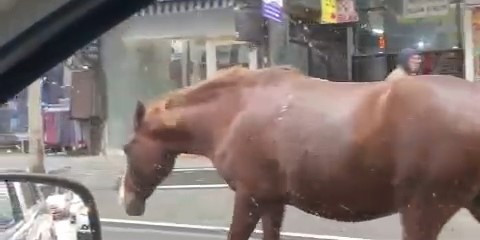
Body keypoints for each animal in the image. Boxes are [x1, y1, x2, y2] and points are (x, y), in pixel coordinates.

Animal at [118, 66, 480, 240]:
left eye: (127, 147)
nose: (127, 200)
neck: (233, 112)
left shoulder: (249, 197)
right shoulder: (271, 202)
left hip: (423, 209)